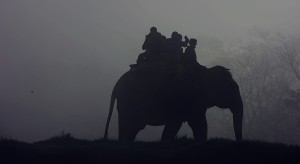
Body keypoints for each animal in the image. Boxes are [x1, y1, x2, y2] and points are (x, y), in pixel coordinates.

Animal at [104, 63, 243, 142]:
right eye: (232, 88)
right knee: (130, 125)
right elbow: (181, 123)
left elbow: (199, 124)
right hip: (129, 101)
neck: (207, 72)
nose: (238, 142)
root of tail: (118, 82)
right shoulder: (186, 99)